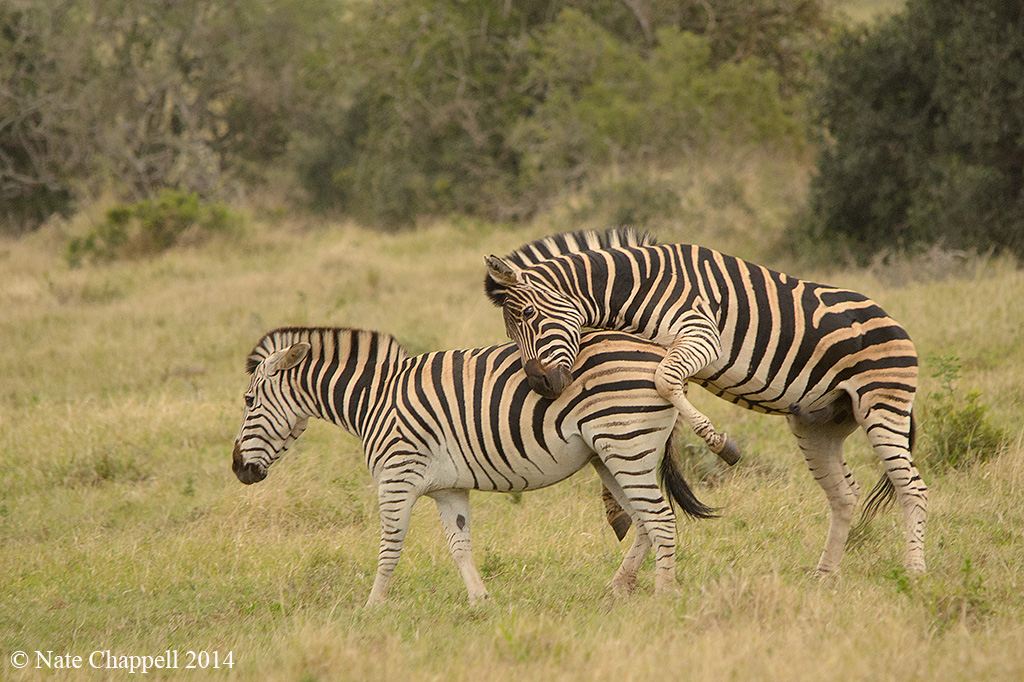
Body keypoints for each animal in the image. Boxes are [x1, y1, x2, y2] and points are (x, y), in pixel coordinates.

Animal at [232, 326, 715, 606]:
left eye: (249, 400)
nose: (238, 469)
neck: (374, 398)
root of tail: (659, 352)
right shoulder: (448, 488)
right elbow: (459, 544)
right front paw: (480, 601)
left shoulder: (396, 476)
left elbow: (390, 545)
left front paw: (373, 606)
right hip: (610, 456)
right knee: (644, 522)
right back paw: (618, 588)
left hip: (625, 445)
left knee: (660, 519)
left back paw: (664, 596)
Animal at [484, 228, 927, 575]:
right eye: (510, 331)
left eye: (528, 314)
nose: (541, 386)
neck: (637, 286)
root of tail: (896, 324)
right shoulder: (664, 352)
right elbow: (651, 406)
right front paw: (616, 507)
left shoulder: (701, 335)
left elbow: (664, 385)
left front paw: (720, 444)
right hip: (819, 423)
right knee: (845, 495)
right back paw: (824, 576)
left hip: (882, 407)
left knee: (912, 489)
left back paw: (914, 571)